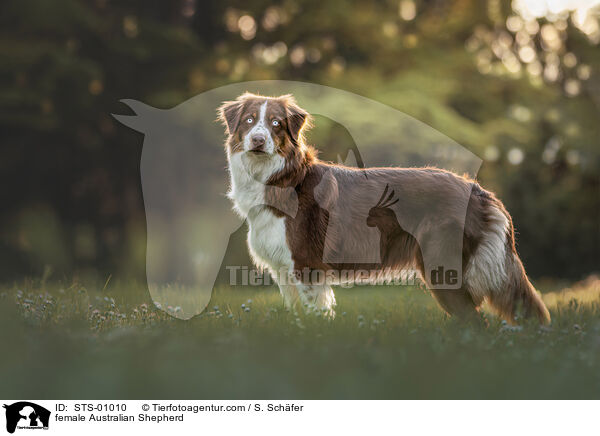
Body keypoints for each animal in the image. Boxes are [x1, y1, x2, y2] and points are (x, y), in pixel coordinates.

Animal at [218, 93, 552, 324]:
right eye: (249, 120)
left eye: (276, 123)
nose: (257, 140)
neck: (282, 177)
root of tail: (480, 191)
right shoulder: (285, 272)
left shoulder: (307, 268)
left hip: (443, 271)